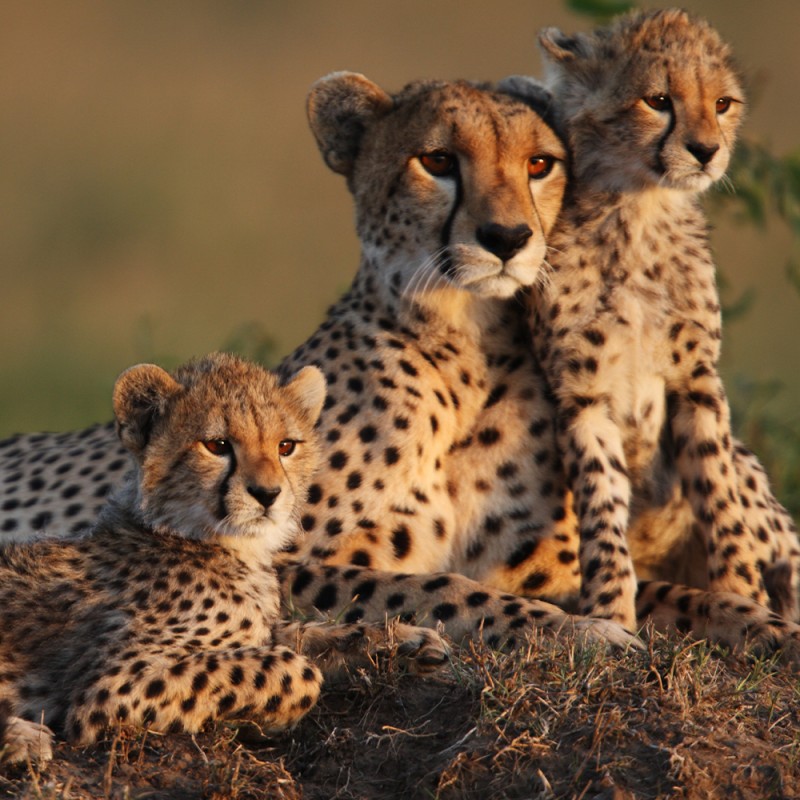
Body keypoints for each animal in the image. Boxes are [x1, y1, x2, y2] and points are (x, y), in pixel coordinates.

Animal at [0, 352, 448, 764]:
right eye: (217, 446)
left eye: (286, 446)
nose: (268, 494)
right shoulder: (110, 688)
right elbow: (295, 669)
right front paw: (260, 720)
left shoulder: (260, 630)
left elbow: (307, 633)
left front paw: (404, 639)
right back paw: (22, 739)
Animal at [1, 71, 799, 663]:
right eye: (438, 161)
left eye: (540, 165)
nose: (506, 238)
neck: (466, 351)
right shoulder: (272, 554)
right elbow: (436, 588)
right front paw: (582, 631)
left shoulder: (550, 568)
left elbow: (676, 595)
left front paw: (762, 625)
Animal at [518, 8, 800, 631]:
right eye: (658, 100)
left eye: (722, 103)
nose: (706, 150)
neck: (640, 211)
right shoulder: (582, 393)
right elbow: (601, 505)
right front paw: (610, 612)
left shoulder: (696, 380)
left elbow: (718, 494)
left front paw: (739, 592)